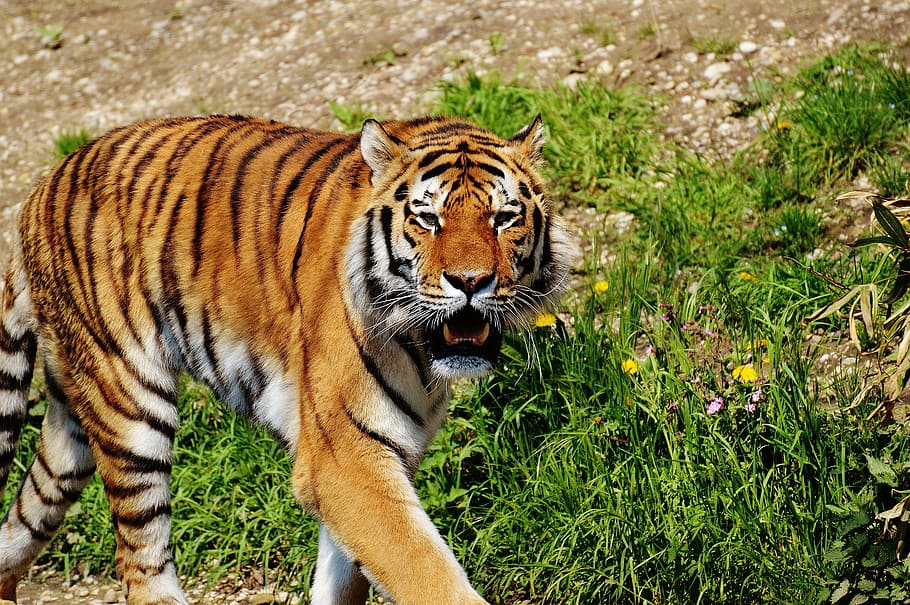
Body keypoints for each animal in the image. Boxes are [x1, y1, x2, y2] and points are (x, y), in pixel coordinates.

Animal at [0, 113, 575, 605]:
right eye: (428, 218)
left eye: (504, 218)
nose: (471, 282)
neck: (421, 349)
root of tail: (38, 190)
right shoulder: (344, 459)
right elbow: (424, 571)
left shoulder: (371, 459)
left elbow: (345, 575)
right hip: (131, 408)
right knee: (139, 563)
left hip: (72, 427)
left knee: (24, 518)